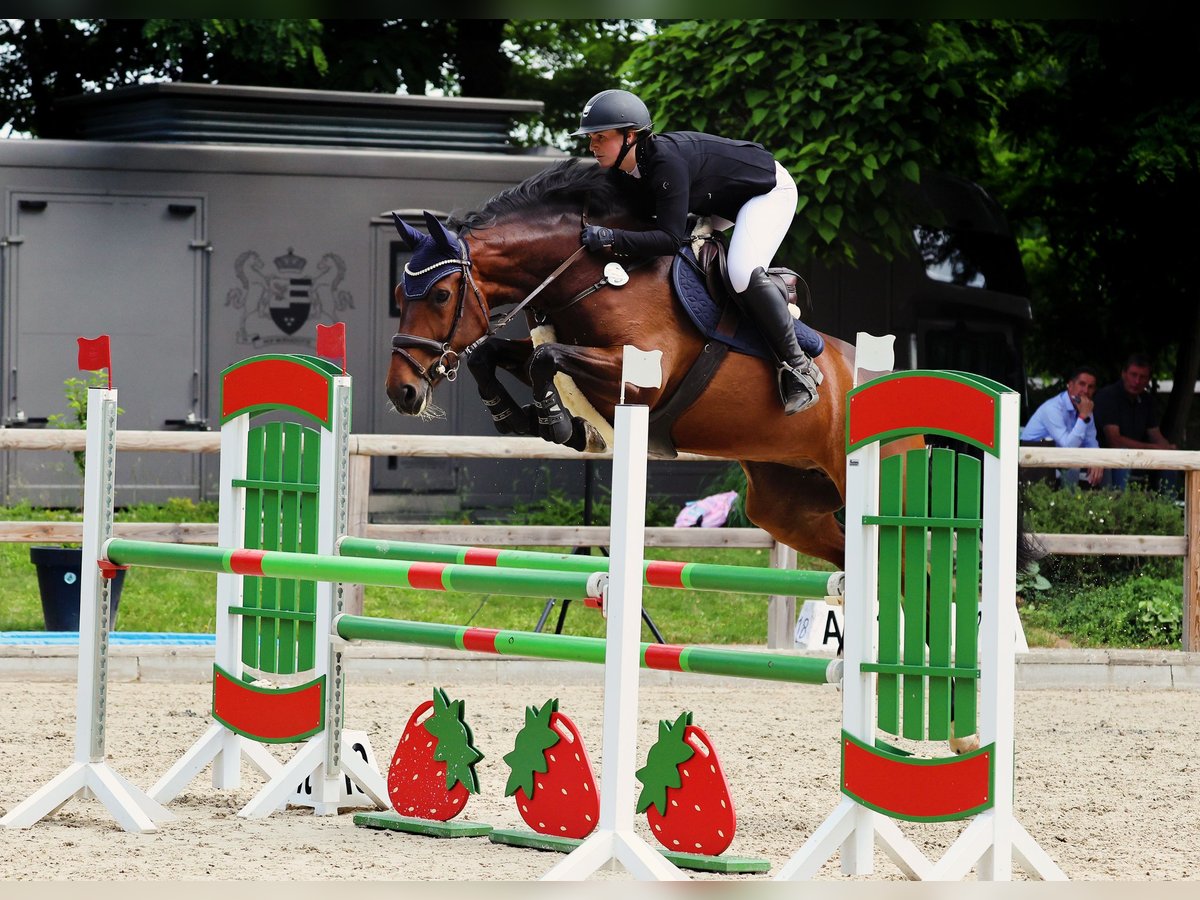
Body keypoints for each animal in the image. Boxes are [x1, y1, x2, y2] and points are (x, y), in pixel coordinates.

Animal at [384, 158, 864, 566]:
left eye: (441, 295)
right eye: (398, 296)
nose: (401, 391)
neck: (601, 275)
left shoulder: (642, 380)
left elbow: (544, 357)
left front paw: (559, 425)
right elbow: (492, 354)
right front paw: (516, 418)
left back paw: (801, 382)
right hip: (786, 504)